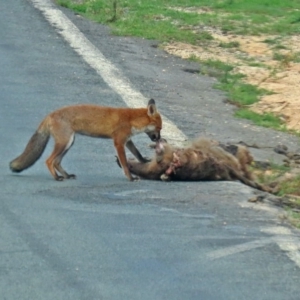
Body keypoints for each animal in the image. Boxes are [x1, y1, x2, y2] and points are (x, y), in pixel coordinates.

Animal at [9, 99, 162, 182]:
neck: (131, 119)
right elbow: (124, 163)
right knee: (49, 161)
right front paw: (130, 178)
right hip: (64, 142)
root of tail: (50, 114)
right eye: (159, 128)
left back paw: (66, 175)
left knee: (57, 162)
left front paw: (144, 161)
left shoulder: (127, 140)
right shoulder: (118, 142)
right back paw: (57, 178)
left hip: (69, 142)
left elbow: (137, 153)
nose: (160, 139)